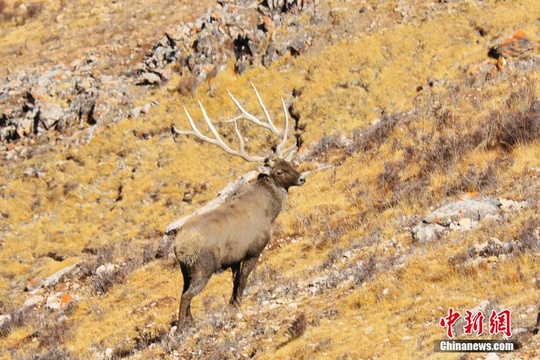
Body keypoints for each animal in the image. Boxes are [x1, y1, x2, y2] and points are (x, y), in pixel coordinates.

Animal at [167, 83, 306, 330]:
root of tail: (178, 247)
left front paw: (232, 305)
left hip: (185, 270)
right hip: (203, 266)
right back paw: (182, 328)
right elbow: (243, 281)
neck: (267, 211)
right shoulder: (254, 248)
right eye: (279, 171)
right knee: (186, 296)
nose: (301, 178)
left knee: (184, 293)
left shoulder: (234, 257)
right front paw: (238, 306)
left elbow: (234, 282)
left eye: (289, 163)